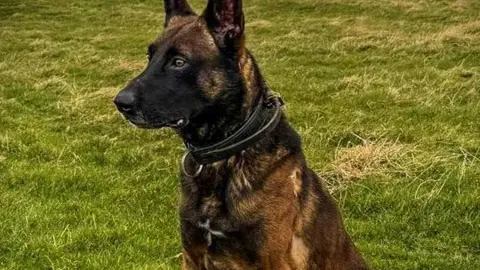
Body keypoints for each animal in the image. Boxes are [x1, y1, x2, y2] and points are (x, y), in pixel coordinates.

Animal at [113, 0, 368, 268]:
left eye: (179, 62)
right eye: (150, 57)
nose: (120, 103)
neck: (224, 157)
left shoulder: (272, 261)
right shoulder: (192, 255)